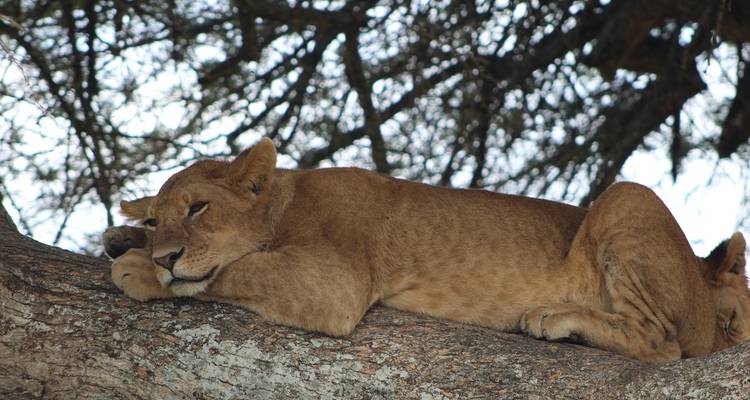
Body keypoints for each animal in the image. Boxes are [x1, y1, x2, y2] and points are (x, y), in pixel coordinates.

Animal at [103, 137, 750, 363]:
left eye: (198, 209)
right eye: (158, 217)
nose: (164, 254)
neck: (285, 204)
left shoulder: (335, 283)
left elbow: (239, 269)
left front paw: (140, 270)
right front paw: (124, 239)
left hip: (626, 197)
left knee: (664, 346)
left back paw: (555, 318)